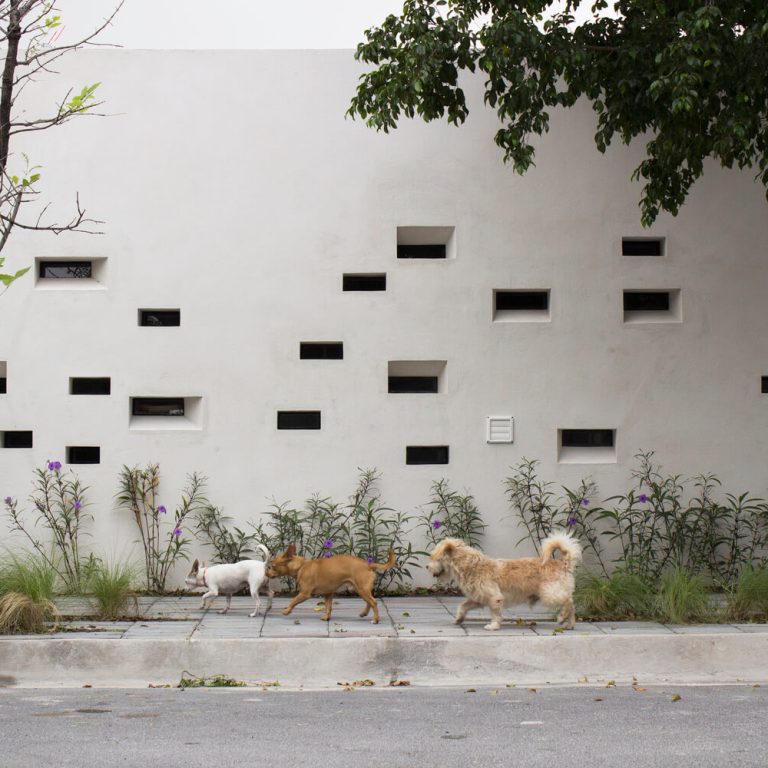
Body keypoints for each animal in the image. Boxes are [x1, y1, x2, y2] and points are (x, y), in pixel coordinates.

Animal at [268, 544, 396, 624]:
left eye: (273, 566)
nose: (266, 572)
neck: (301, 566)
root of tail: (368, 564)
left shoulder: (304, 594)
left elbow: (293, 601)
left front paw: (287, 610)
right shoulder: (328, 594)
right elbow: (328, 607)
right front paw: (326, 617)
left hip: (362, 589)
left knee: (373, 602)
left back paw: (375, 620)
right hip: (361, 590)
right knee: (370, 602)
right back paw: (364, 613)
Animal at [426, 532, 584, 632]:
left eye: (434, 557)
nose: (427, 567)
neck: (471, 566)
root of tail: (563, 563)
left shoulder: (494, 598)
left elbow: (495, 614)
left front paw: (493, 626)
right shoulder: (478, 598)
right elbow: (463, 606)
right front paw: (459, 619)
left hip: (550, 594)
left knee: (569, 601)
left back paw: (562, 617)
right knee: (572, 606)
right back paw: (569, 624)